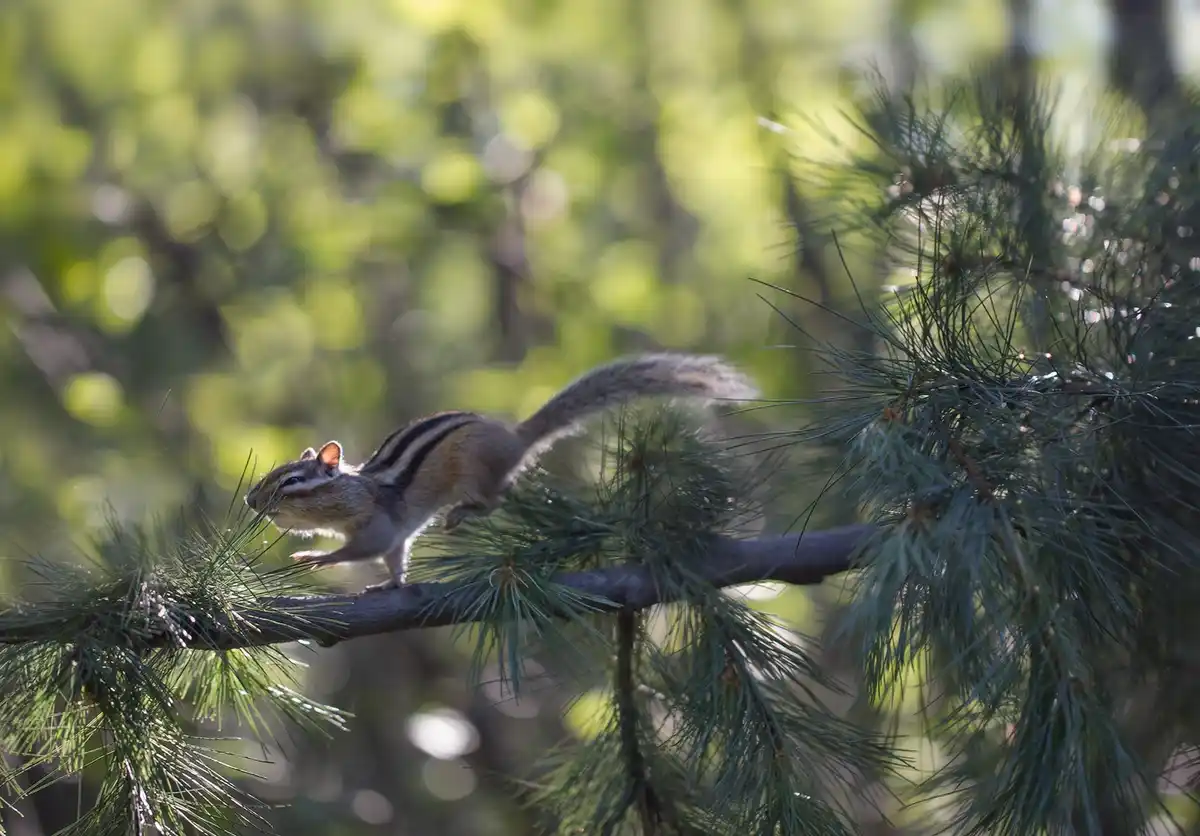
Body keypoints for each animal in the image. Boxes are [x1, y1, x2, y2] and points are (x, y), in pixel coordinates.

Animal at [245, 353, 756, 592]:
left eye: (291, 483)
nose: (250, 501)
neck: (354, 493)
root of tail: (514, 437)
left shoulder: (378, 525)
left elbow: (361, 550)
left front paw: (315, 559)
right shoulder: (396, 539)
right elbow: (394, 562)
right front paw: (388, 583)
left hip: (475, 472)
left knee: (497, 495)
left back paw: (459, 515)